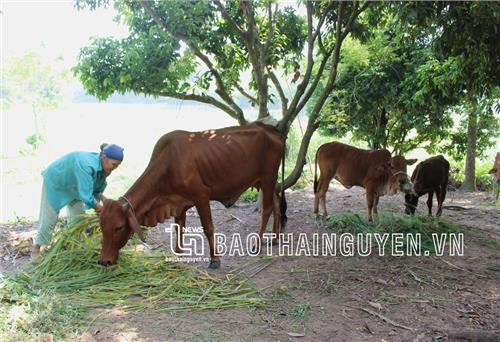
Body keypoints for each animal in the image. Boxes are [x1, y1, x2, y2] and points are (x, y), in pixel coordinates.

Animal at [98, 123, 286, 270]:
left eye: (119, 227)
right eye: (101, 226)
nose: (103, 261)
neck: (168, 163)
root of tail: (270, 128)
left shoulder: (201, 196)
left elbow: (208, 228)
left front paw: (214, 259)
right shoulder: (178, 203)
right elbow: (178, 228)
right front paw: (177, 254)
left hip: (268, 178)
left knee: (267, 209)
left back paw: (257, 244)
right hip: (265, 181)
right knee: (277, 204)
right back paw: (274, 239)